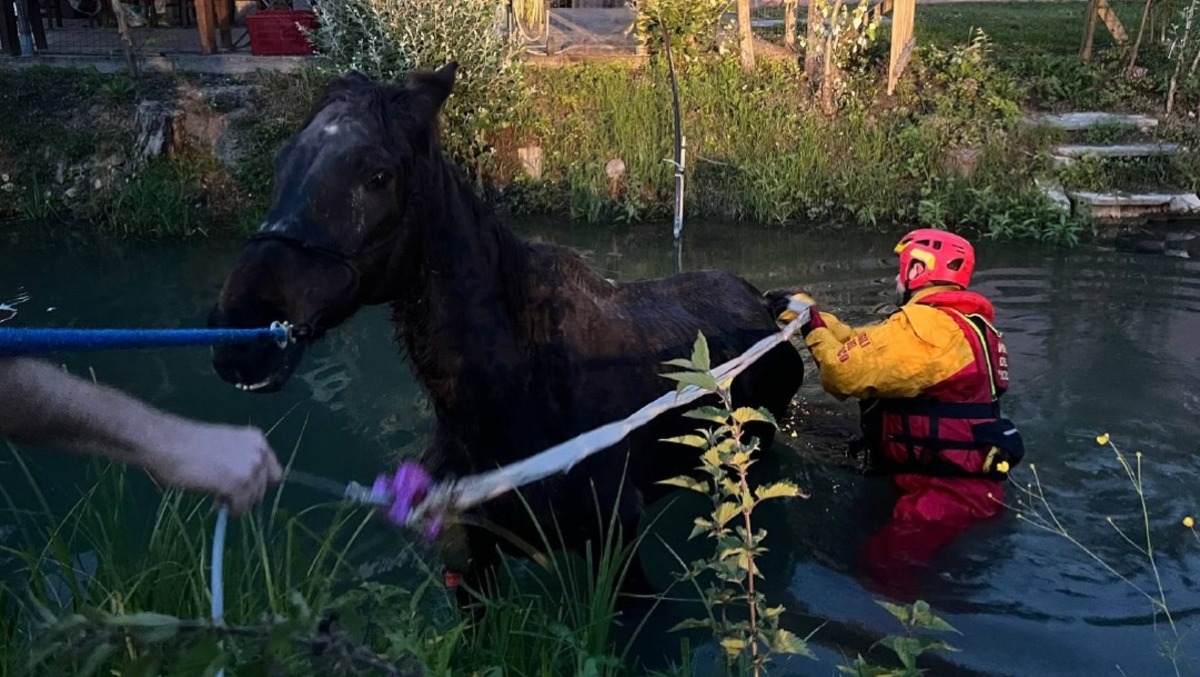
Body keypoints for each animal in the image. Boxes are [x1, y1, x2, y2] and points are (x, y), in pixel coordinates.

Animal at [207, 63, 806, 604]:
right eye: (282, 161)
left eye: (378, 174)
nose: (239, 333)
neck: (515, 391)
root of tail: (763, 302)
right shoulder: (472, 563)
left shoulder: (617, 548)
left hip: (762, 447)